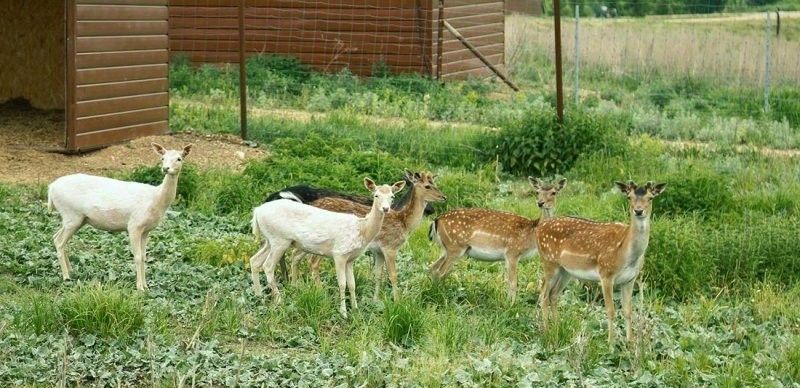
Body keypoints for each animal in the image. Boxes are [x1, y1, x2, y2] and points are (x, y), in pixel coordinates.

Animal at [48, 142, 192, 292]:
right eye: (162, 158)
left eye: (179, 159)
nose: (165, 169)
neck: (155, 199)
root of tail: (50, 189)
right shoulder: (134, 225)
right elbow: (137, 256)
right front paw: (140, 288)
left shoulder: (146, 230)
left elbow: (144, 256)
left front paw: (146, 286)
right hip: (71, 214)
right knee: (59, 241)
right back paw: (66, 277)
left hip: (77, 219)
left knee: (57, 237)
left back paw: (71, 271)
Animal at [250, 177, 404, 316]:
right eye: (376, 195)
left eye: (392, 196)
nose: (386, 208)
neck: (362, 229)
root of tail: (257, 212)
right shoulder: (339, 253)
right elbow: (342, 283)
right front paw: (343, 313)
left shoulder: (351, 258)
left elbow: (352, 284)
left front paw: (355, 309)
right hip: (279, 240)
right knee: (268, 266)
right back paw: (279, 300)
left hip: (270, 240)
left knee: (255, 260)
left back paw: (259, 296)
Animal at [294, 171, 446, 302]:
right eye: (427, 186)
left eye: (435, 184)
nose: (443, 197)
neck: (404, 223)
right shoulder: (390, 247)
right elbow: (393, 275)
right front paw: (397, 302)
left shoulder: (378, 250)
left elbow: (378, 275)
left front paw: (375, 299)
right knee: (312, 261)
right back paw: (319, 291)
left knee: (296, 255)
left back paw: (296, 285)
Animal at [428, 177, 564, 304]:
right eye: (537, 192)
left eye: (554, 192)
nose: (540, 203)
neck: (531, 234)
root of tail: (436, 220)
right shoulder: (512, 252)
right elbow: (513, 282)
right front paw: (511, 305)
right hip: (455, 246)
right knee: (440, 272)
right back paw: (441, 296)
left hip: (446, 248)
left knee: (432, 268)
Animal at [536, 180, 668, 344]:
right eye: (629, 197)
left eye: (650, 198)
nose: (638, 211)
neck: (626, 253)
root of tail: (538, 228)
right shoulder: (606, 274)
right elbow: (611, 311)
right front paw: (610, 343)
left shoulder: (630, 279)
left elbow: (628, 311)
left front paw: (630, 343)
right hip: (549, 262)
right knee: (543, 295)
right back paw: (547, 332)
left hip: (566, 270)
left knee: (553, 294)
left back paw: (557, 329)